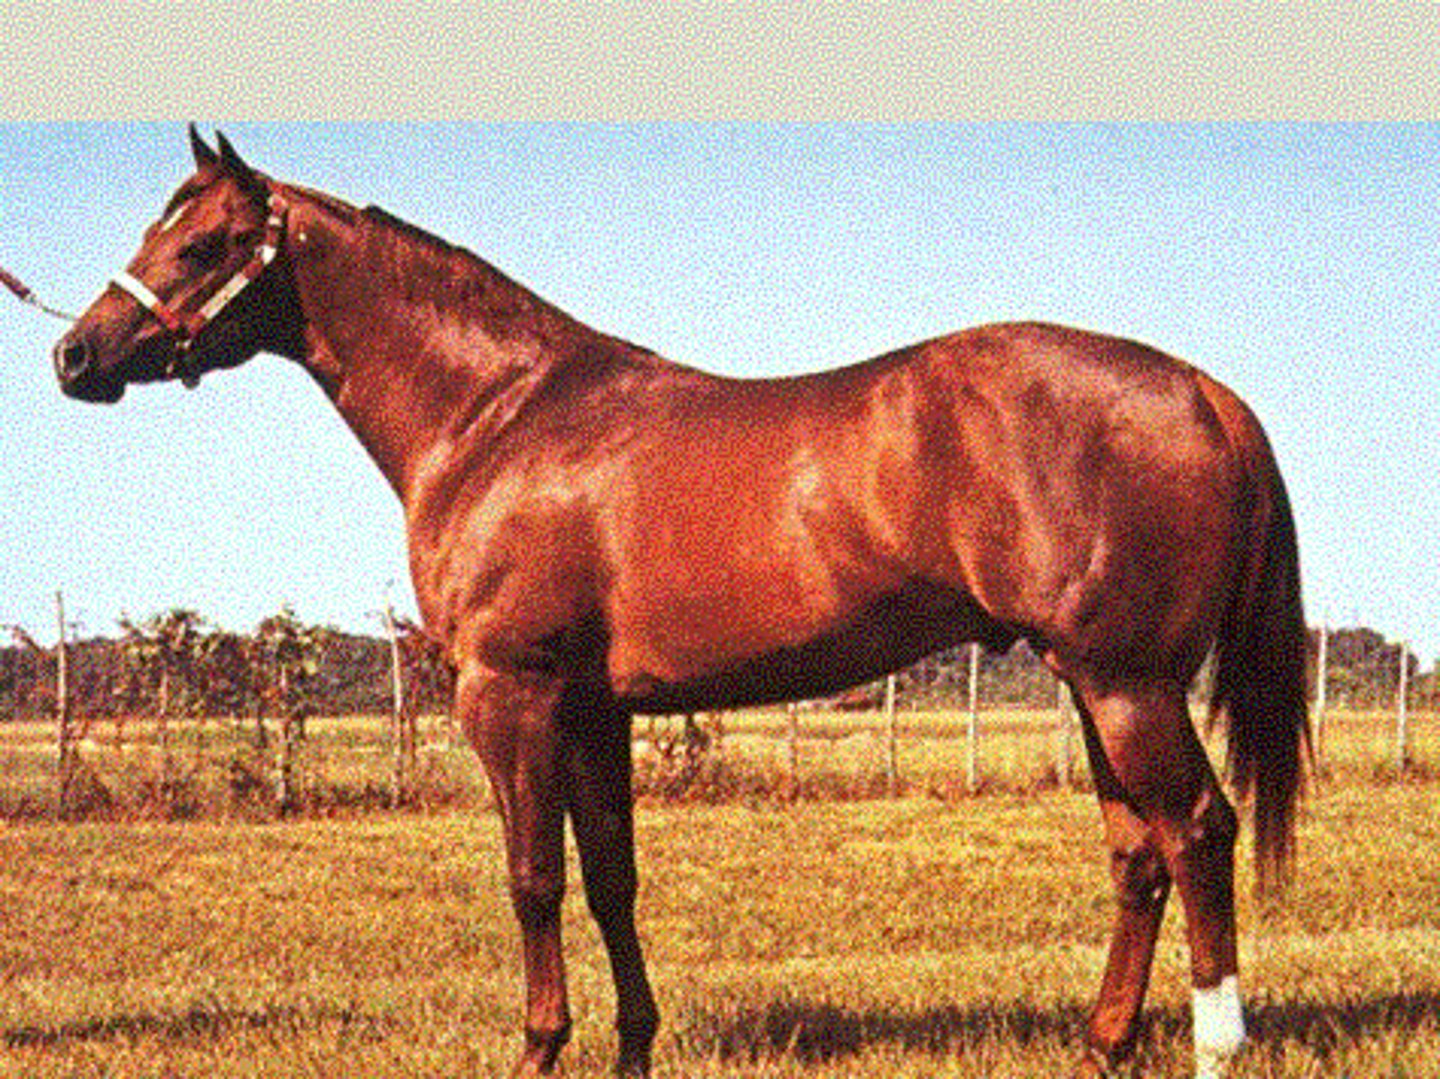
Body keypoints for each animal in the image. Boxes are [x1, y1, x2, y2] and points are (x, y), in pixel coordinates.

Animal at [53, 128, 1308, 1078]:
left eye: (202, 240)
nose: (75, 355)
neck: (501, 416)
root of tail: (1201, 388)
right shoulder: (595, 707)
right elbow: (612, 879)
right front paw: (630, 1048)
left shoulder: (510, 692)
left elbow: (533, 878)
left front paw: (538, 1048)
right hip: (1094, 681)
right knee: (1138, 854)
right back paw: (1101, 1043)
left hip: (1126, 680)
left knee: (1198, 829)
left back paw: (1217, 1045)